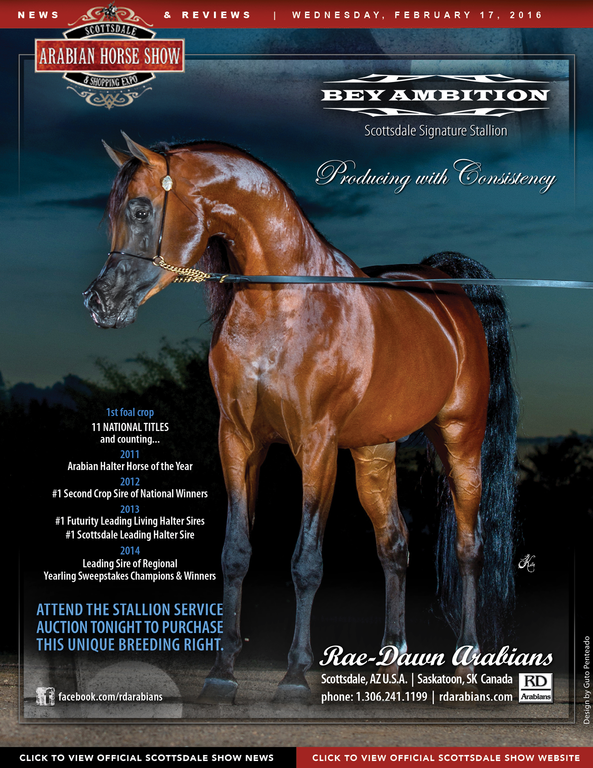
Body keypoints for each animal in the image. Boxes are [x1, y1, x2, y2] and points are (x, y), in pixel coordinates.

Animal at [84, 134, 518, 703]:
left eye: (139, 209)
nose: (100, 302)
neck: (283, 303)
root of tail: (447, 286)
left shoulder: (315, 445)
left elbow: (306, 561)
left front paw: (294, 675)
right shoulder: (238, 441)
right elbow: (235, 552)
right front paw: (222, 672)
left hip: (461, 441)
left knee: (469, 548)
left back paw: (467, 661)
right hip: (373, 452)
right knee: (394, 545)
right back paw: (389, 663)